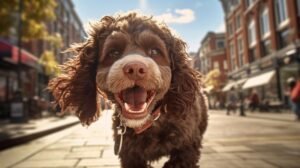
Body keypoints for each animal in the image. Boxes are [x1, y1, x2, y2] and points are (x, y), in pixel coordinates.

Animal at [49, 12, 209, 168]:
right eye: (114, 52)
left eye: (154, 51)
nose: (135, 68)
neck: (147, 123)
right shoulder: (130, 155)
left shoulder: (186, 148)